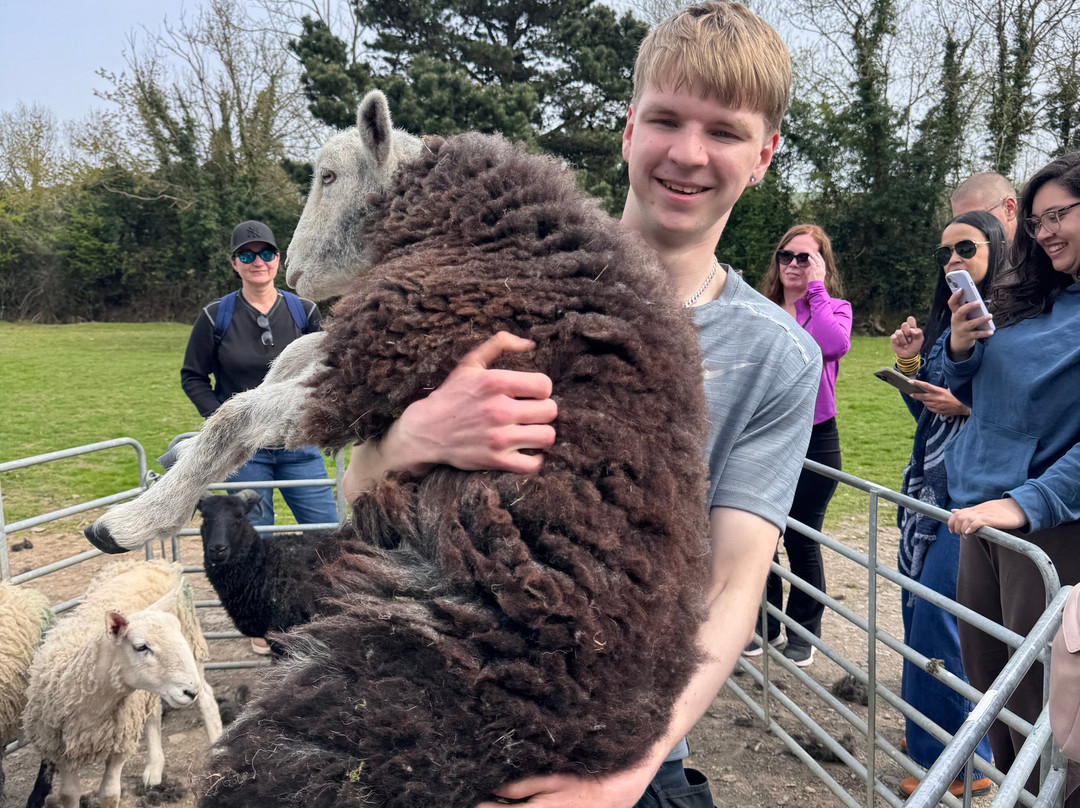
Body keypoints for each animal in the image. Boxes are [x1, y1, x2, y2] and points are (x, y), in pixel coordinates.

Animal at [23, 560, 223, 808]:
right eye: (141, 647)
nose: (189, 691)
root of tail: (153, 563)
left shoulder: (119, 745)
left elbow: (109, 794)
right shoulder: (62, 750)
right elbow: (69, 795)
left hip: (193, 652)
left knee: (206, 698)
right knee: (154, 713)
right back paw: (155, 766)